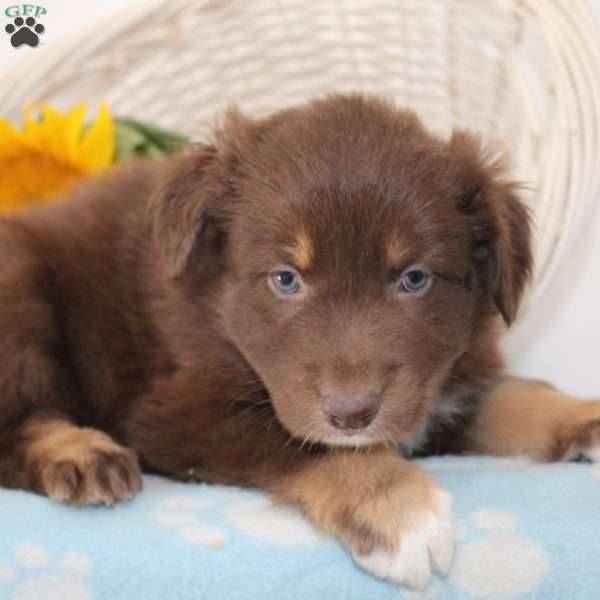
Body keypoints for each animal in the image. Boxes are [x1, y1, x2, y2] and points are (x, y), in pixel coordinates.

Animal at [1, 96, 600, 588]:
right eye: (286, 279)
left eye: (414, 278)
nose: (352, 413)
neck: (218, 315)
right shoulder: (172, 411)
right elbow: (308, 443)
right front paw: (396, 507)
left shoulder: (442, 383)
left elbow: (512, 393)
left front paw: (582, 414)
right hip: (21, 289)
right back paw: (81, 452)